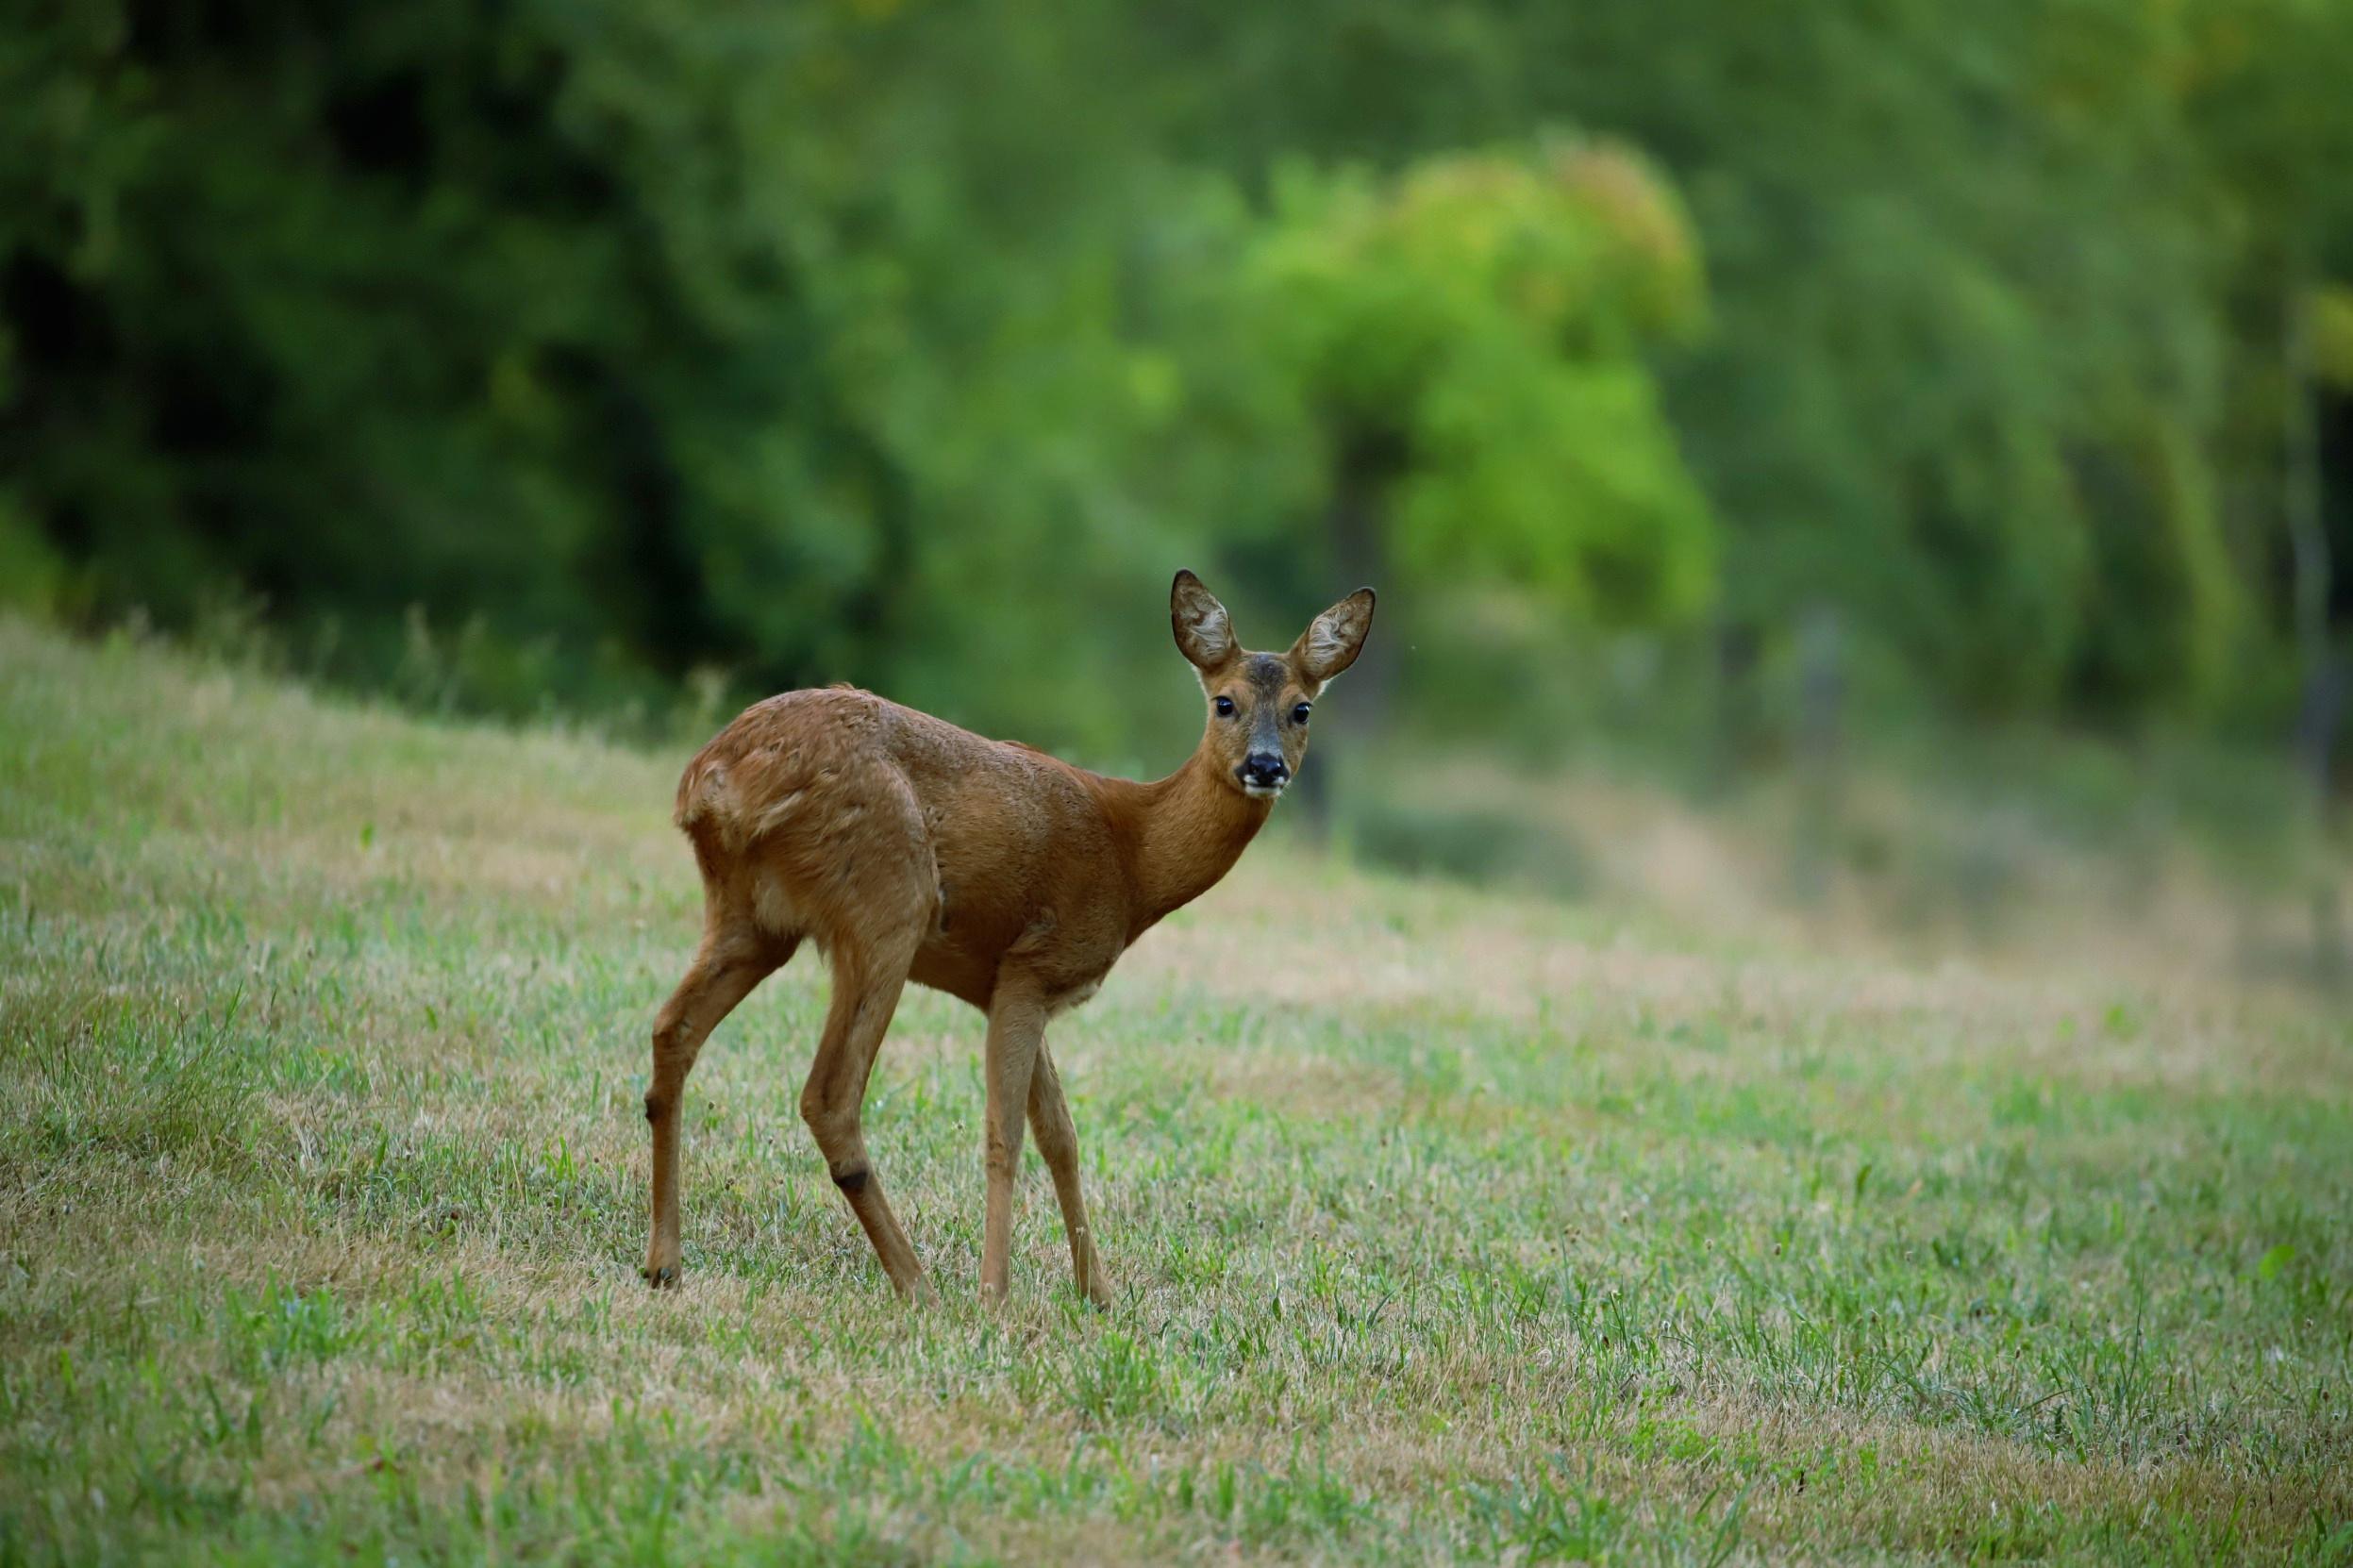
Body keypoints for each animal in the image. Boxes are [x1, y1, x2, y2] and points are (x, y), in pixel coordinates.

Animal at [644, 567, 1374, 1299]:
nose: (1265, 766)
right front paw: (995, 1292)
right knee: (828, 1096)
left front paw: (1098, 1294)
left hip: (751, 916)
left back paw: (664, 1261)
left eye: (1302, 709)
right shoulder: (1033, 965)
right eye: (1224, 702)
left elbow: (1061, 1135)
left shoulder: (1009, 985)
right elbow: (1007, 1135)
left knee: (672, 1031)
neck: (1133, 856)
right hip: (886, 904)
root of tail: (715, 778)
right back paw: (918, 1284)